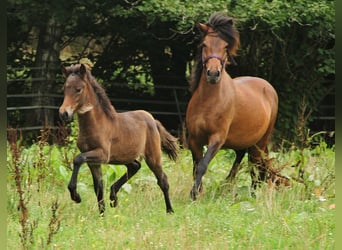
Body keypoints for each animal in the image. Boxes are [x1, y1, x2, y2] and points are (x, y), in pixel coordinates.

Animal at [58, 63, 178, 214]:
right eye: (64, 89)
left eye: (78, 89)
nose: (64, 113)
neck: (97, 124)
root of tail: (152, 120)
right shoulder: (93, 161)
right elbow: (98, 187)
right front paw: (102, 215)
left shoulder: (103, 155)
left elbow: (77, 159)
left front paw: (76, 196)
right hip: (124, 157)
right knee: (135, 166)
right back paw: (113, 196)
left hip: (153, 157)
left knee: (163, 180)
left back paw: (170, 210)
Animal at [186, 12, 280, 201]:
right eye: (205, 44)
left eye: (225, 46)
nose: (213, 74)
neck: (208, 102)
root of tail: (267, 86)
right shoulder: (194, 139)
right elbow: (196, 166)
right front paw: (198, 193)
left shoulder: (217, 139)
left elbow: (202, 165)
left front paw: (194, 194)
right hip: (244, 141)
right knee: (241, 159)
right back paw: (228, 185)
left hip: (260, 142)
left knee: (255, 166)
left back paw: (252, 195)